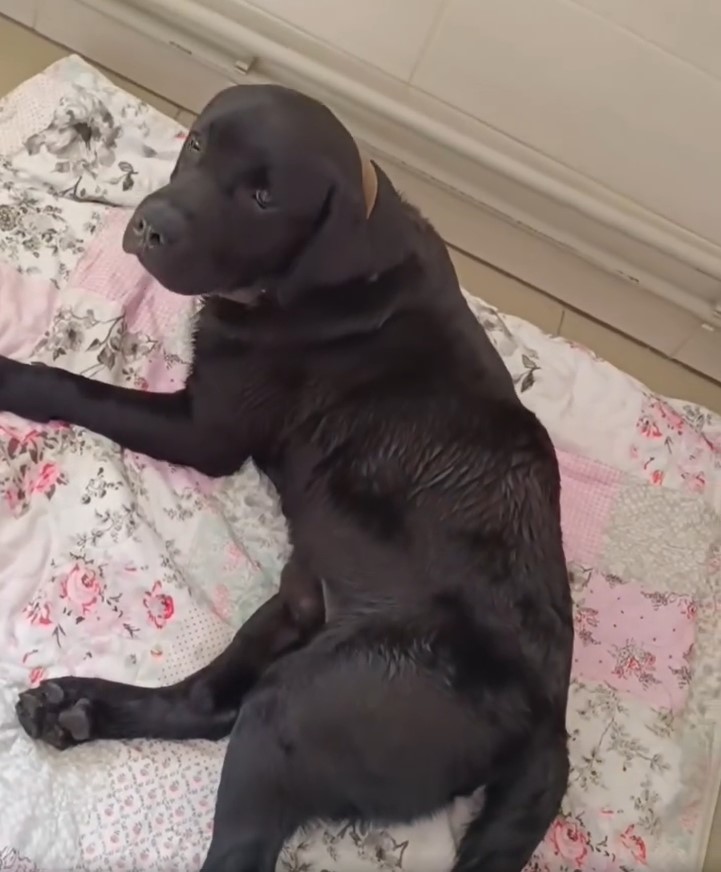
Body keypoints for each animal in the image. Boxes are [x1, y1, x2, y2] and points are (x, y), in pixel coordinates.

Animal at [4, 83, 572, 872]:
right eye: (198, 144)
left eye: (264, 198)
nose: (149, 225)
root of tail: (549, 720)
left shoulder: (202, 430)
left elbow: (69, 385)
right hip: (297, 606)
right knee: (205, 705)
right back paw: (76, 709)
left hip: (302, 711)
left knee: (243, 828)